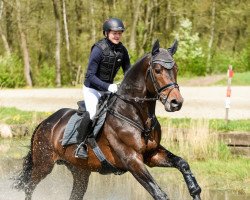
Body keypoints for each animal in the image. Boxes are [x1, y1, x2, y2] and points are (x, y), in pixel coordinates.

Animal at [13, 39, 201, 199]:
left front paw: (195, 191)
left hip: (80, 171)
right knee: (29, 187)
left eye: (176, 69)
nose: (176, 102)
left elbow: (182, 163)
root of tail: (44, 123)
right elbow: (158, 193)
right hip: (43, 165)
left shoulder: (152, 154)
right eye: (158, 70)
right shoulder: (132, 160)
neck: (135, 115)